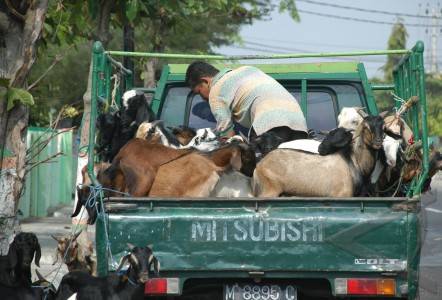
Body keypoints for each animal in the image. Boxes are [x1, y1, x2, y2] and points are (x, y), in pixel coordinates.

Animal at [254, 115, 386, 197]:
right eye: (366, 127)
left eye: (383, 127)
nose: (378, 141)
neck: (353, 162)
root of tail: (259, 165)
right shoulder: (340, 194)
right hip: (270, 190)